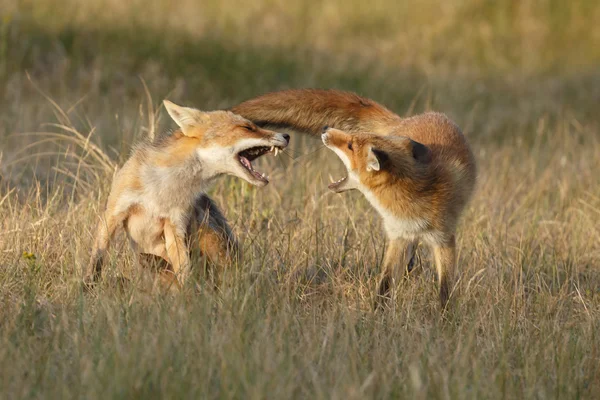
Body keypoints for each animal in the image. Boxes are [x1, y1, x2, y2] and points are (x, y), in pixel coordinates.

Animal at [85, 100, 290, 288]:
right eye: (247, 127)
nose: (287, 135)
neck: (162, 189)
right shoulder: (114, 213)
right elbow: (96, 260)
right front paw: (87, 288)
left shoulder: (174, 225)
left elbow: (183, 268)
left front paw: (186, 298)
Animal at [232, 90, 476, 310]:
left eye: (350, 146)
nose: (326, 129)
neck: (411, 199)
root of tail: (407, 120)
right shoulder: (397, 235)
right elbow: (385, 282)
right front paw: (377, 313)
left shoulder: (444, 239)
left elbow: (445, 290)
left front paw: (445, 320)